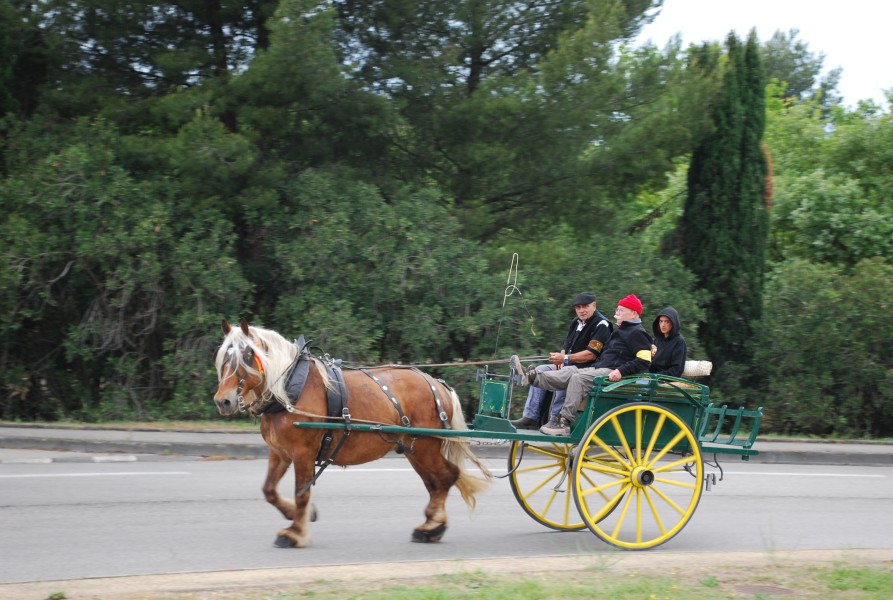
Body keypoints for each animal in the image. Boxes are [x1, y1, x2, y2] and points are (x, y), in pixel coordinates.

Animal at [213, 318, 492, 548]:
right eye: (224, 357)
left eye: (248, 355)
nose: (223, 401)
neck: (289, 389)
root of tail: (438, 384)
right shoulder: (280, 453)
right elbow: (269, 491)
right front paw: (300, 515)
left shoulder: (303, 454)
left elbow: (301, 493)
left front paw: (295, 533)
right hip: (414, 448)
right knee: (435, 482)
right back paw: (431, 525)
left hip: (425, 446)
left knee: (447, 476)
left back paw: (432, 526)